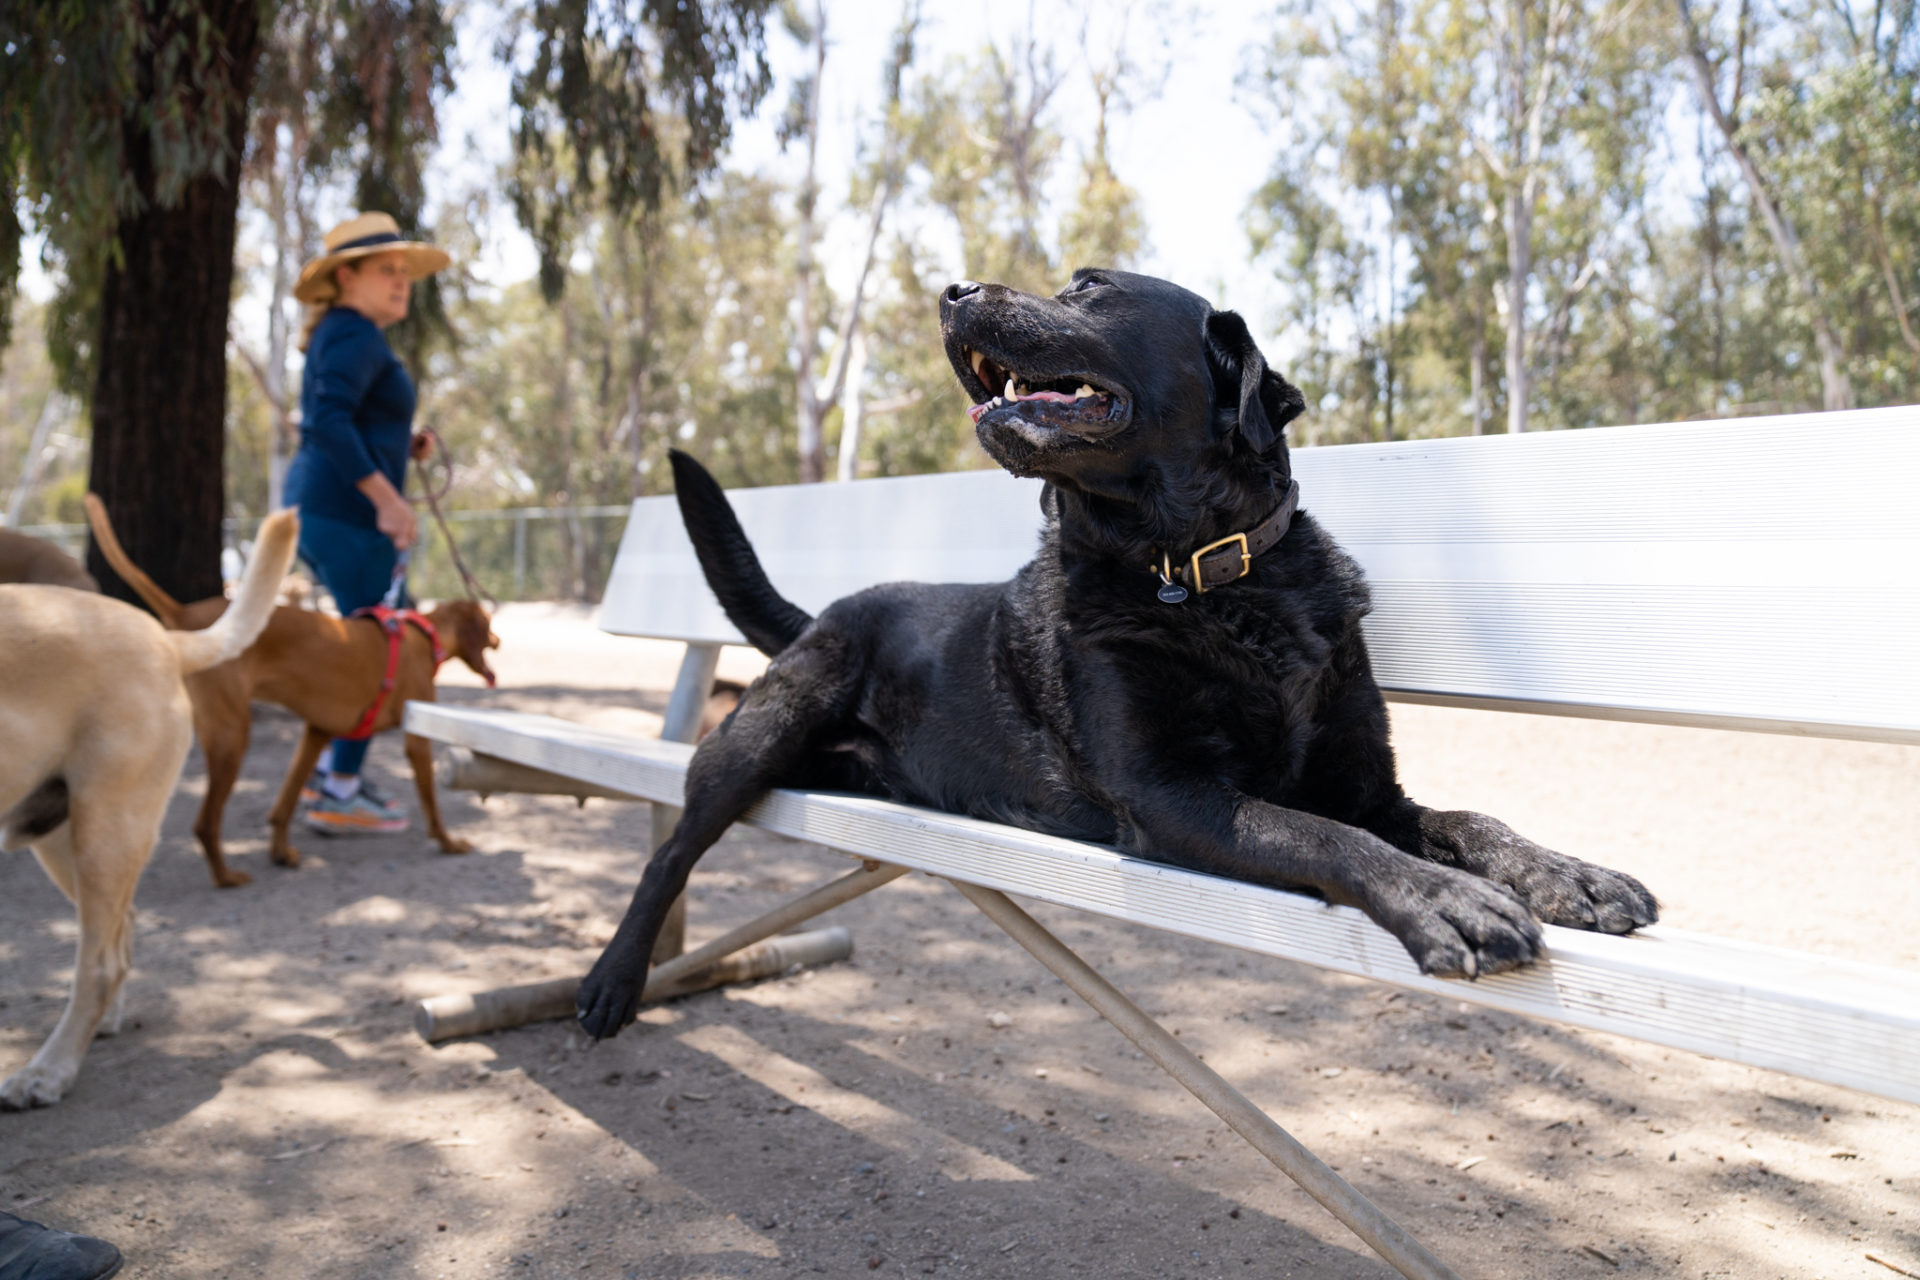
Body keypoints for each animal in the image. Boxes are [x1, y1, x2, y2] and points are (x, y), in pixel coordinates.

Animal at [0, 506, 295, 1105]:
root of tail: (163, 637)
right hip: (57, 838)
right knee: (120, 927)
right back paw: (98, 1027)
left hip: (103, 835)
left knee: (100, 964)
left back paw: (51, 1068)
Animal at [564, 270, 1651, 1043]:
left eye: (1089, 287)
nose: (952, 290)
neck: (1206, 579)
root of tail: (819, 612)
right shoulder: (1173, 794)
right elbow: (1328, 839)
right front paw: (1447, 903)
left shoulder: (1369, 785)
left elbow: (1462, 818)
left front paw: (1570, 873)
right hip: (766, 723)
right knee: (672, 847)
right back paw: (613, 978)